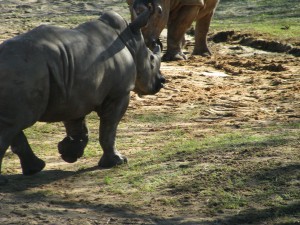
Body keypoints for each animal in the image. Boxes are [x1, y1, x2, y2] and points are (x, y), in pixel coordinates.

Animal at [0, 8, 165, 185]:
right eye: (151, 59)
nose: (162, 81)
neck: (131, 42)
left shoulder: (72, 91)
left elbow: (77, 126)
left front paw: (68, 153)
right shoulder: (119, 93)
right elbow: (109, 128)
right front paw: (117, 161)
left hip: (28, 71)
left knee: (14, 124)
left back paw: (34, 169)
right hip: (23, 70)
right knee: (14, 124)